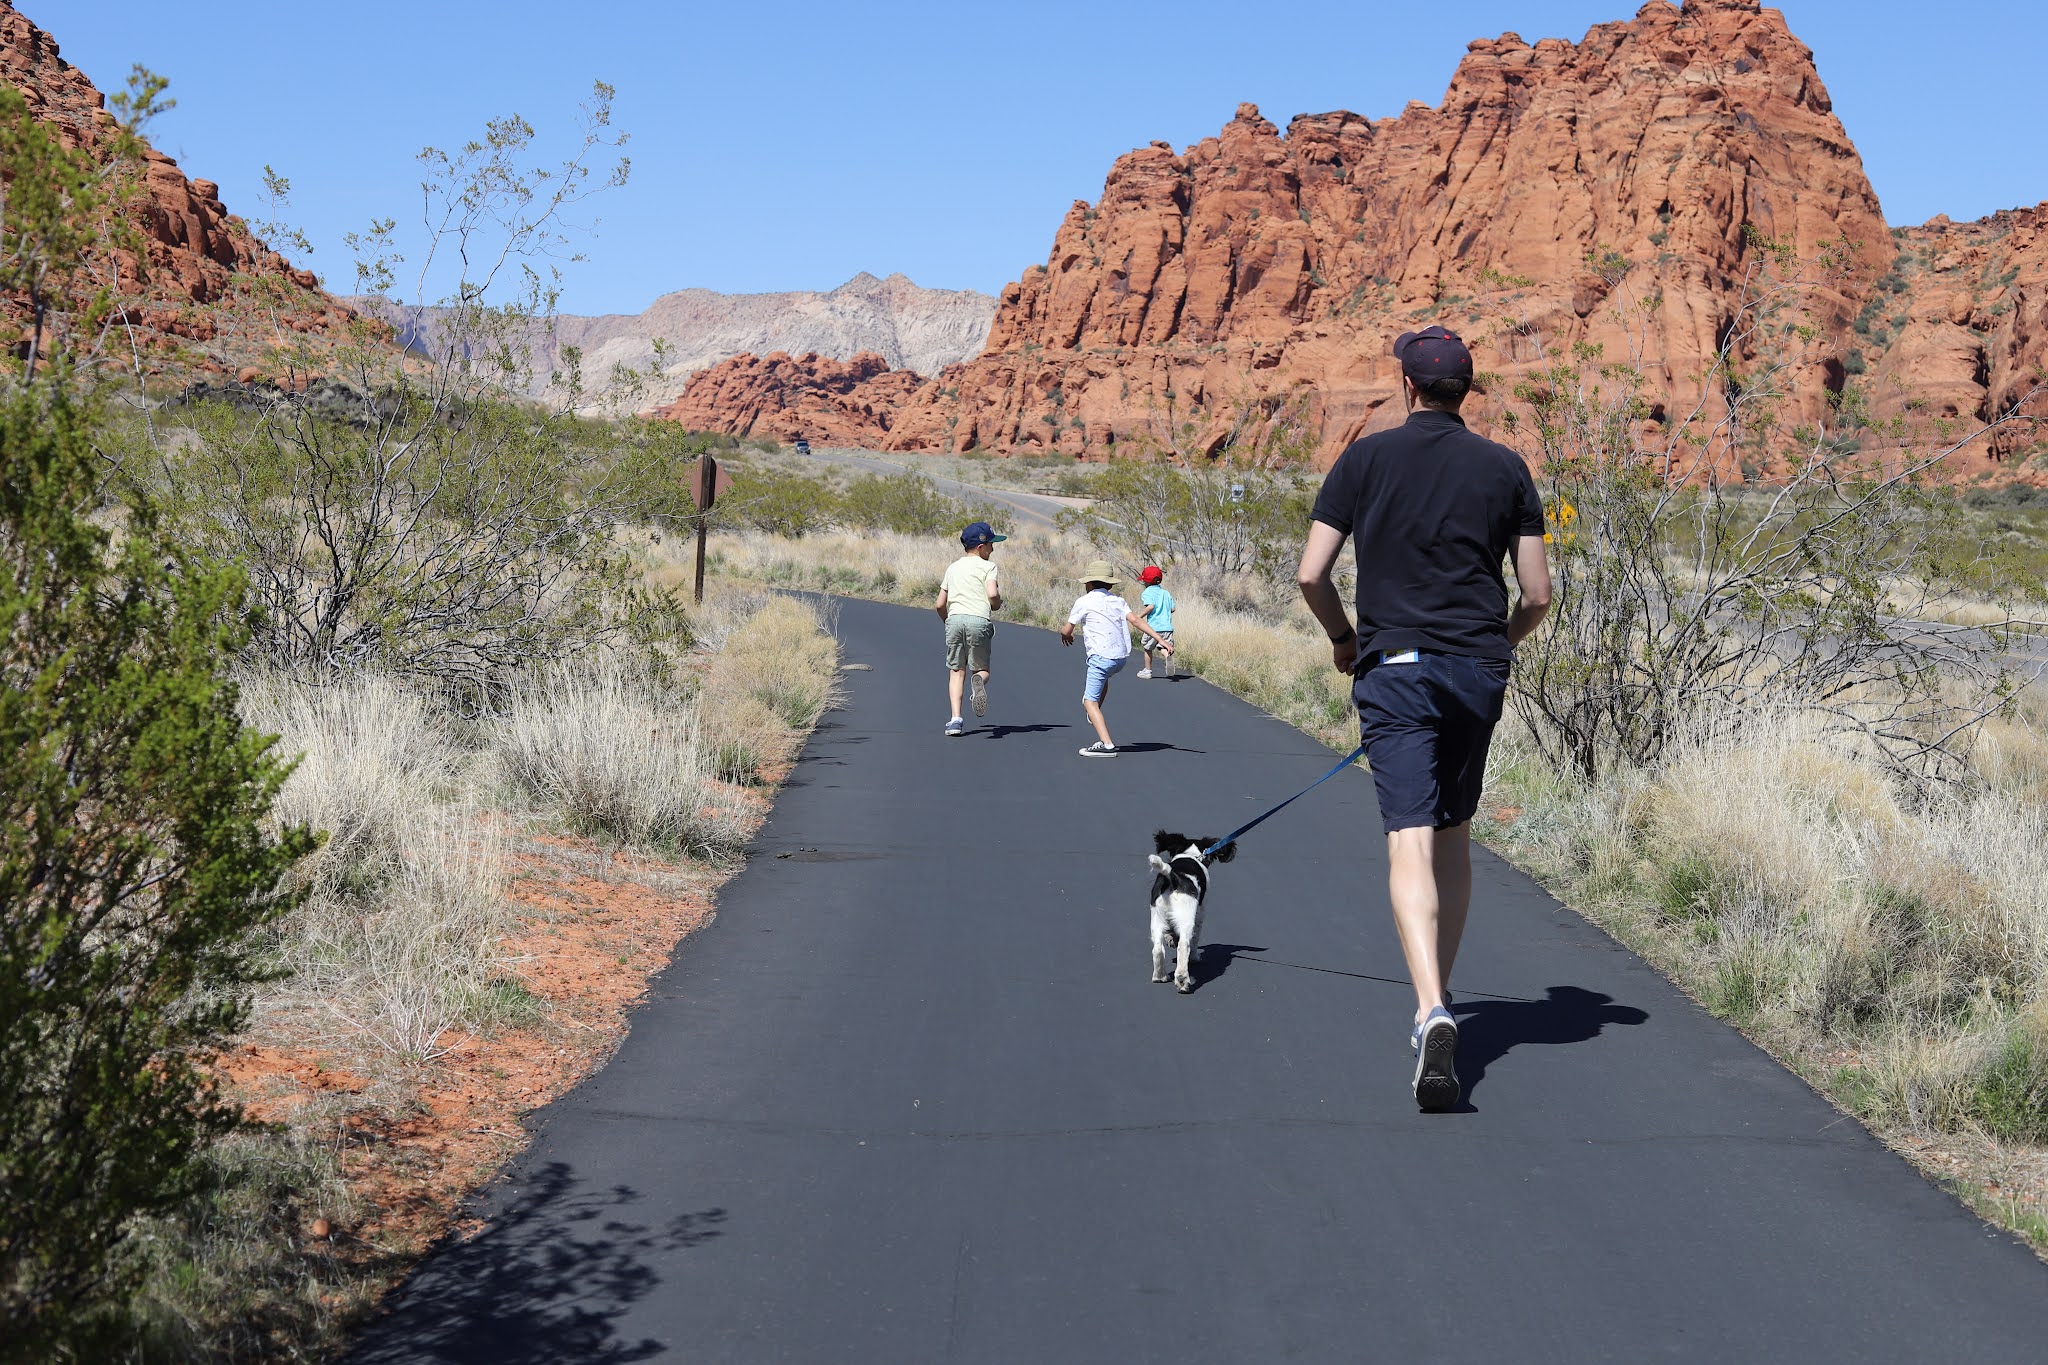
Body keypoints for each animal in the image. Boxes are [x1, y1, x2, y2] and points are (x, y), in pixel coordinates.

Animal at [1146, 834, 1236, 994]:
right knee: (1184, 946)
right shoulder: (1200, 912)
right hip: (1186, 917)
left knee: (1157, 948)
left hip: (1157, 916)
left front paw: (1170, 938)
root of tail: (1173, 878)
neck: (1190, 855)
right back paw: (1182, 980)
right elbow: (1195, 939)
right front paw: (1194, 958)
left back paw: (1160, 976)